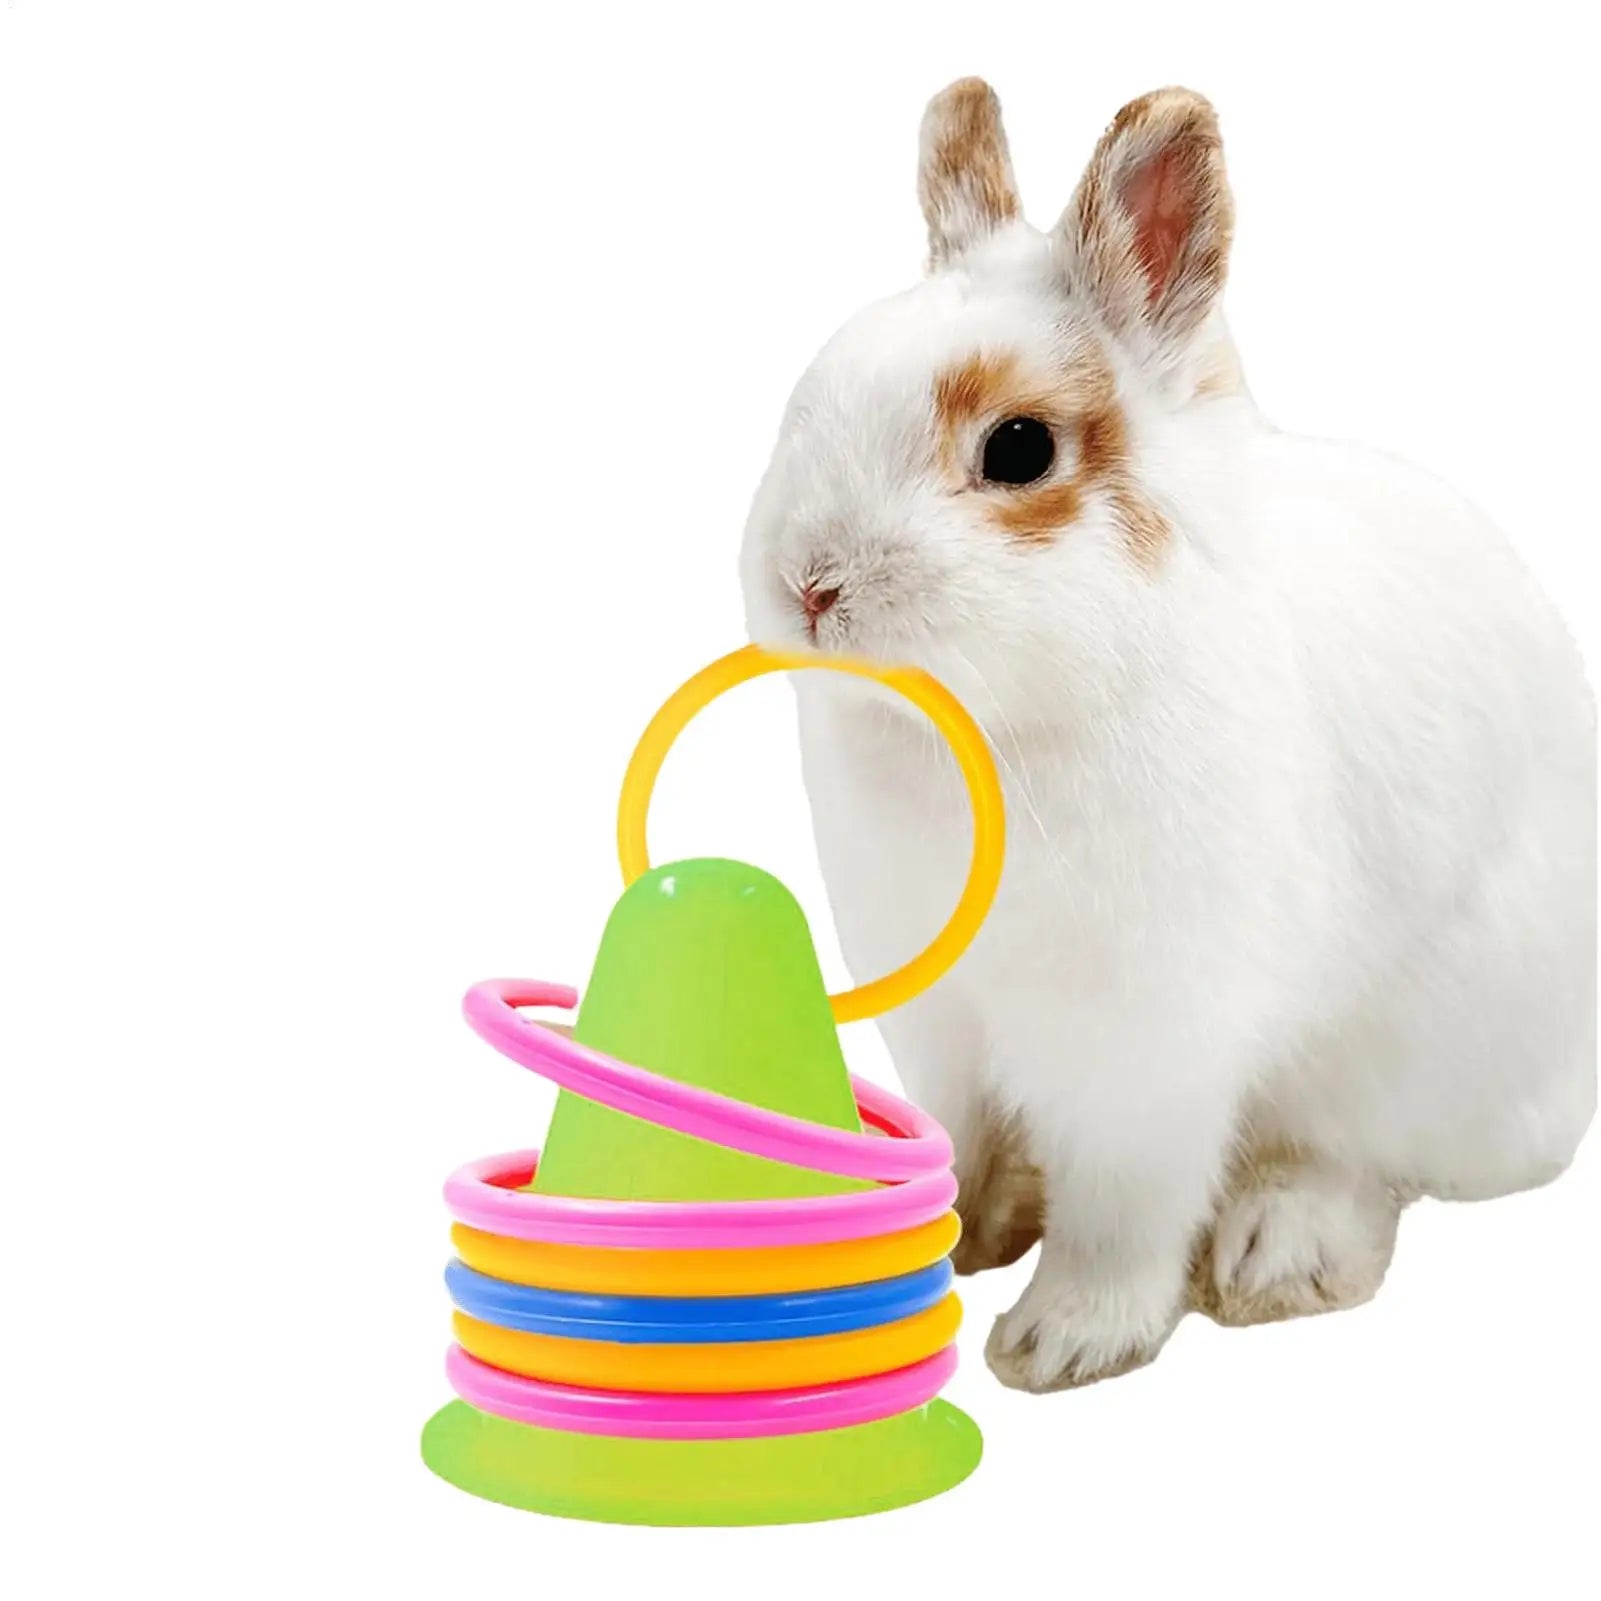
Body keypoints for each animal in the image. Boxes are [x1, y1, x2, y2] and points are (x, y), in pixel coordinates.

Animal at [738, 79, 1597, 1392]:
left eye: (1019, 449)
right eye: (807, 397)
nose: (807, 584)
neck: (998, 730)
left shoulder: (1141, 1049)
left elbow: (1120, 1210)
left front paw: (1056, 1342)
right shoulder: (940, 1021)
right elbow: (968, 1137)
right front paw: (947, 1231)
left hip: (1430, 1058)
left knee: (1363, 1164)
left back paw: (1276, 1252)